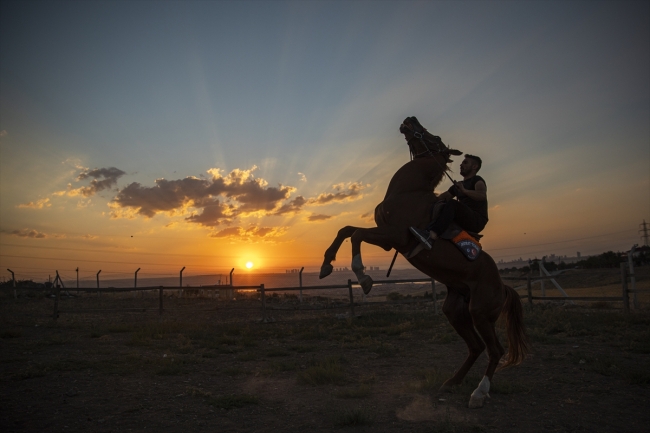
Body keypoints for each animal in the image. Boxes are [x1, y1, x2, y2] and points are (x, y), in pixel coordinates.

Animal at [318, 116, 528, 406]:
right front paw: (326, 265)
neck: (409, 191)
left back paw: (478, 392)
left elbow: (357, 235)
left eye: (434, 136)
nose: (410, 119)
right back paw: (451, 382)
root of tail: (503, 286)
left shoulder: (395, 236)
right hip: (455, 311)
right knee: (476, 347)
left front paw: (365, 278)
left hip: (480, 313)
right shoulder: (386, 236)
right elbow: (345, 230)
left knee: (494, 350)